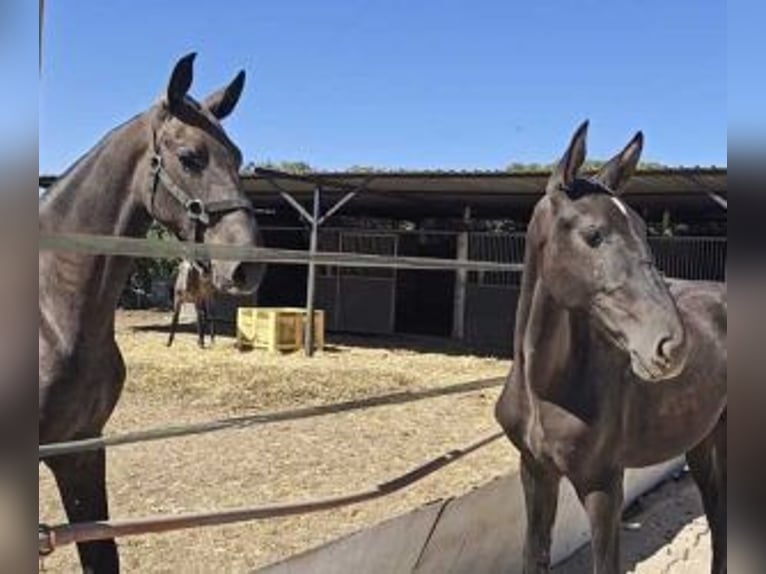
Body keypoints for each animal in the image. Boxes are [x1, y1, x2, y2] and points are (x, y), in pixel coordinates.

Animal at [39, 53, 265, 573]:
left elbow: (102, 554)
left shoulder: (81, 450)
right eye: (190, 157)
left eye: (237, 156)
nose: (246, 265)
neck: (51, 313)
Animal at [495, 122, 726, 574]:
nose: (671, 346)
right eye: (593, 234)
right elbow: (535, 554)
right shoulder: (535, 471)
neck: (546, 387)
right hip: (702, 440)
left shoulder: (603, 485)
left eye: (641, 229)